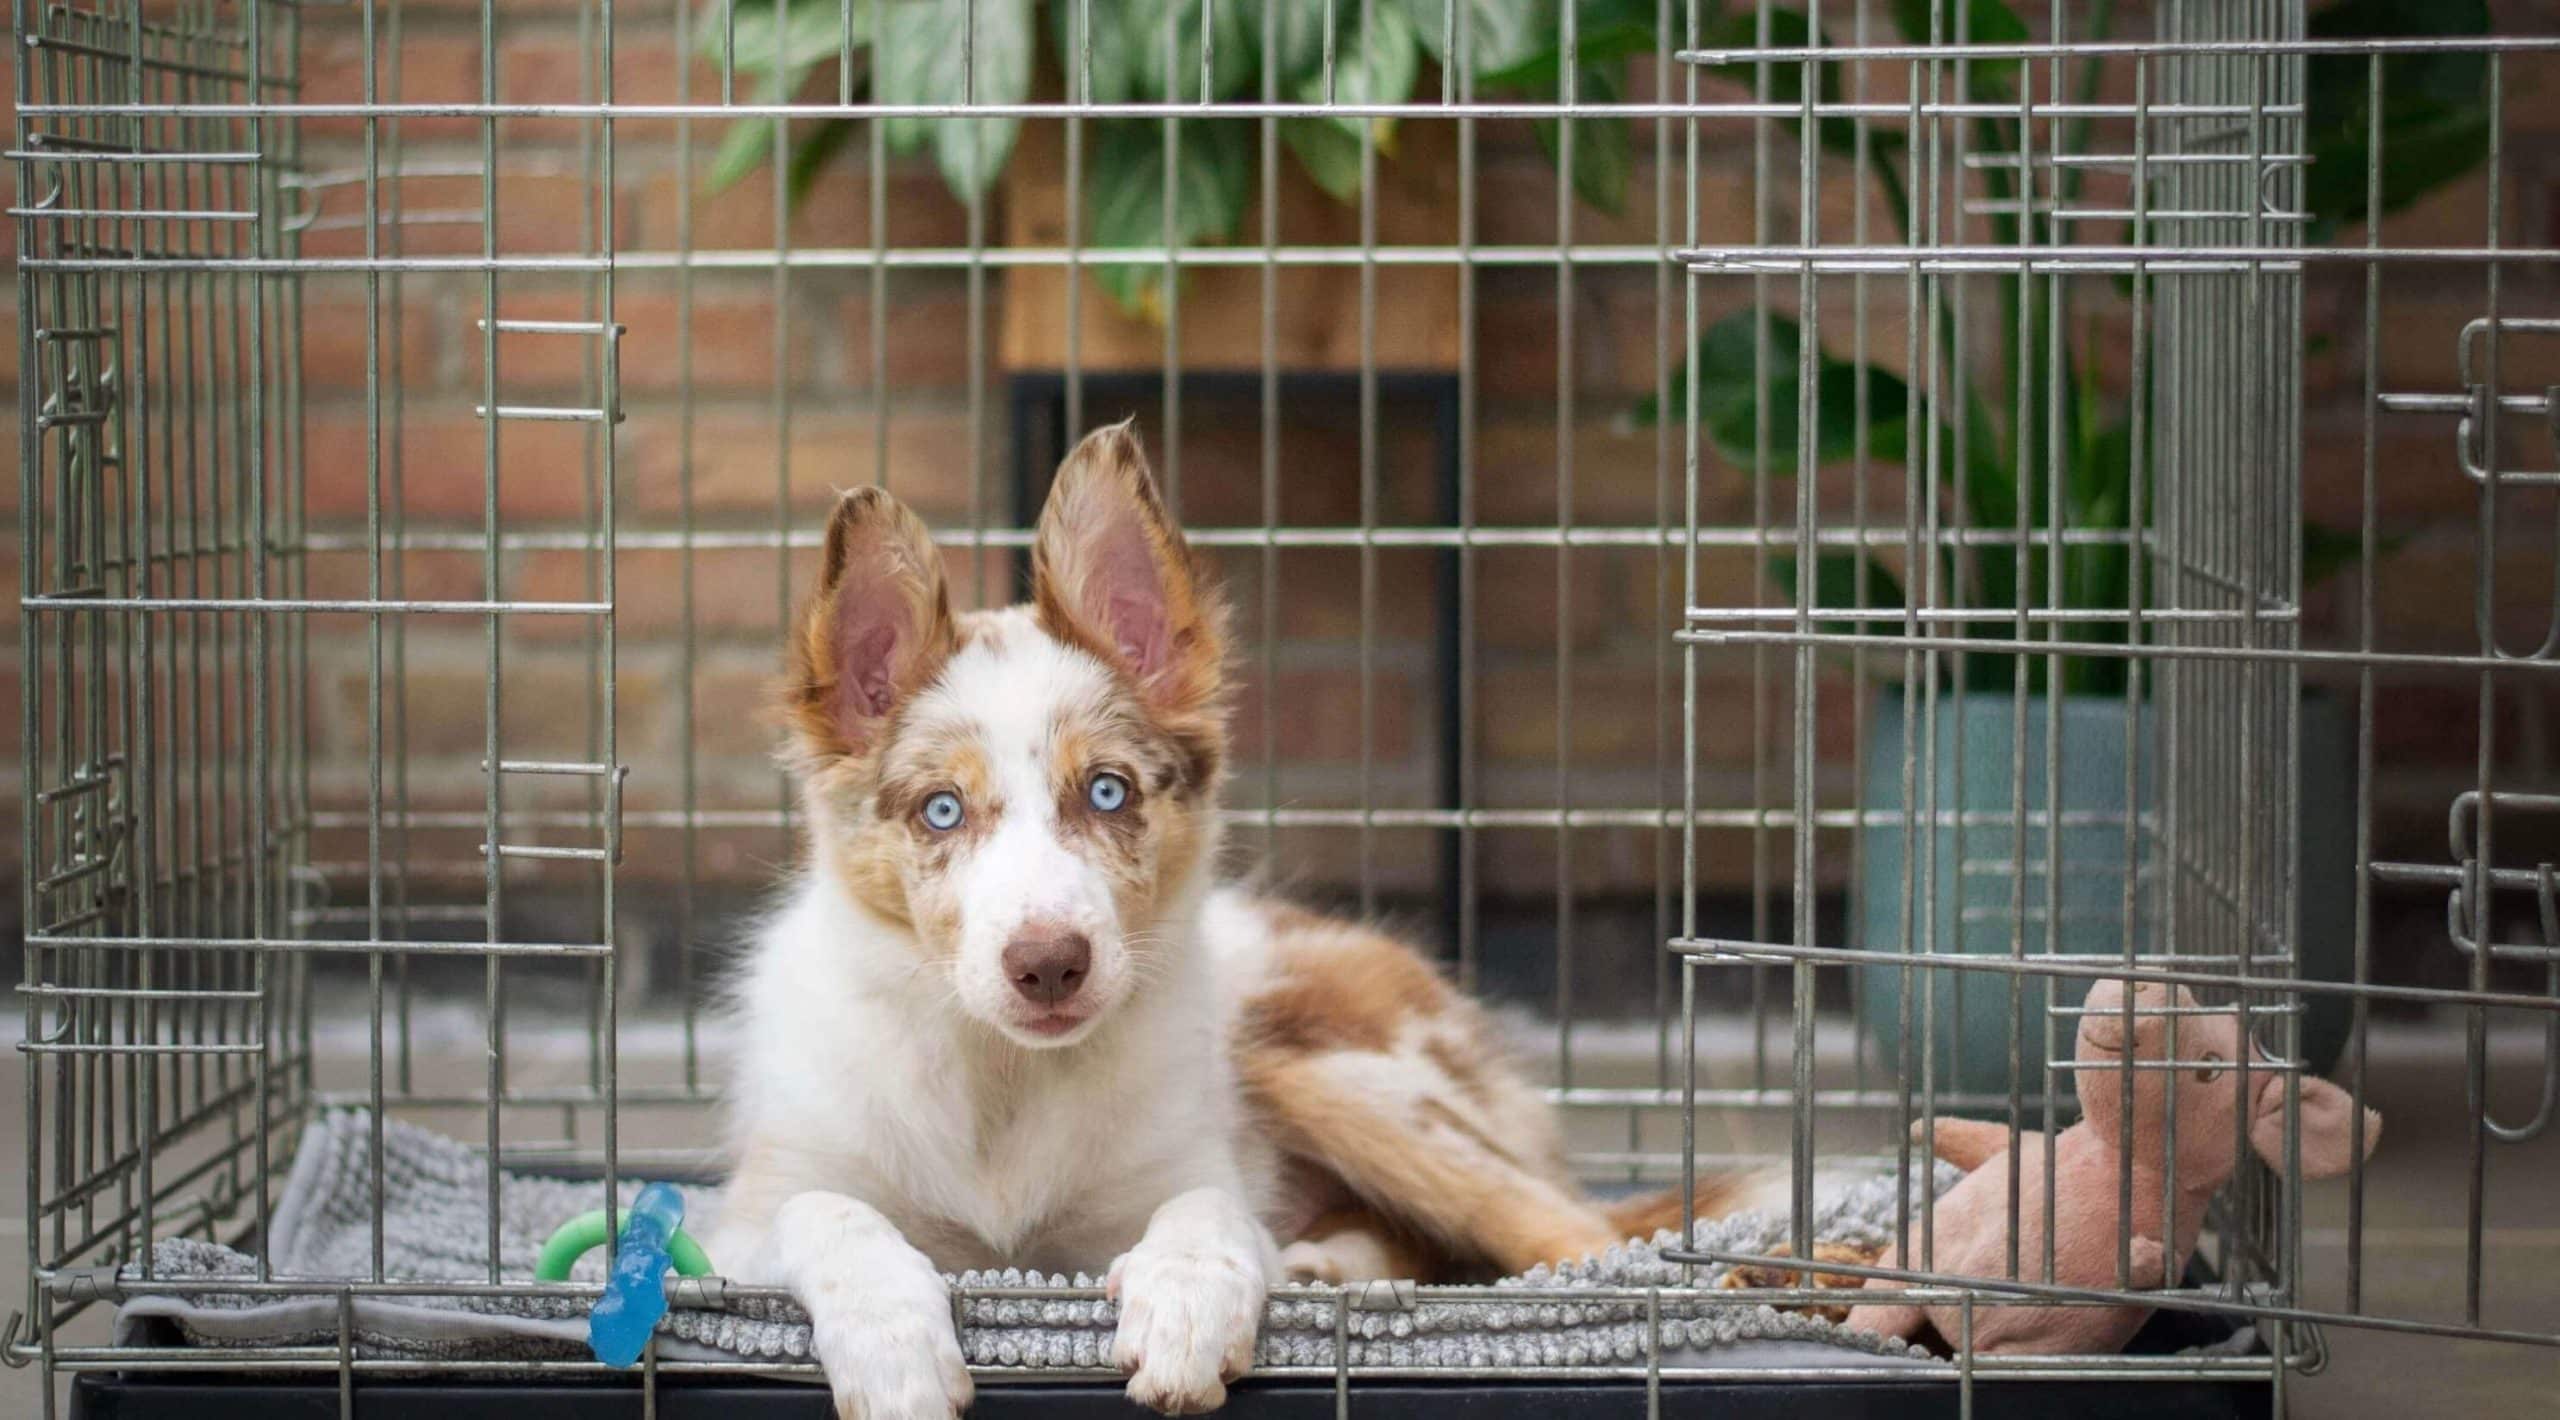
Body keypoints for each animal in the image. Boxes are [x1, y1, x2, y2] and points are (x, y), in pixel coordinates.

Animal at [701, 424, 1781, 1420]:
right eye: (940, 811)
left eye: (1106, 791)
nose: (1048, 965)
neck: (1004, 1084)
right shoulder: (742, 1222)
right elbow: (830, 1212)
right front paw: (893, 1346)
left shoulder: (1184, 1169)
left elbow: (1208, 1211)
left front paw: (1183, 1309)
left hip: (1332, 1067)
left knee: (1579, 1237)